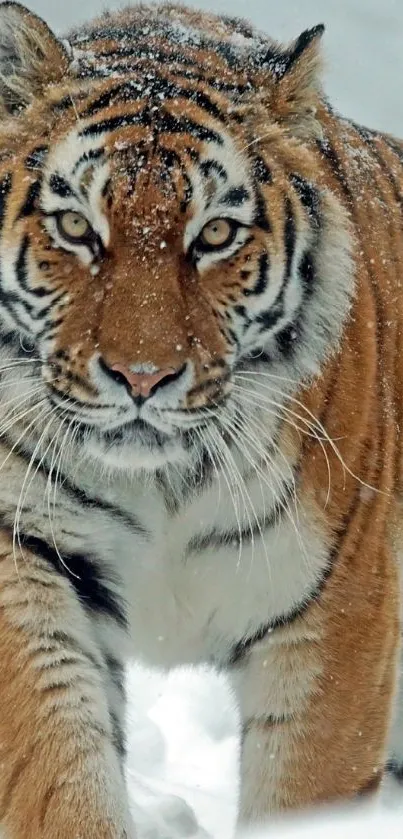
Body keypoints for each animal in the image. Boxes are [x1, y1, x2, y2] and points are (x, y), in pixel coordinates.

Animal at [0, 0, 402, 836]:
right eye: (77, 228)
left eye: (214, 234)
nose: (141, 377)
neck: (162, 482)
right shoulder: (26, 554)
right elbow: (56, 770)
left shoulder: (338, 612)